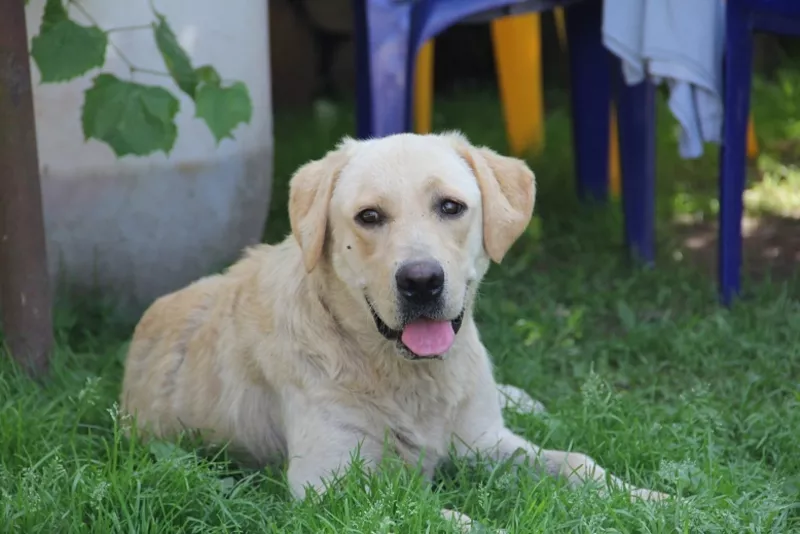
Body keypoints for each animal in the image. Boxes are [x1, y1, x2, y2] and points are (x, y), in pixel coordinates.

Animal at [120, 132, 668, 532]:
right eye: (369, 216)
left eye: (450, 207)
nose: (421, 281)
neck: (411, 376)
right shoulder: (328, 485)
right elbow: (446, 518)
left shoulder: (484, 441)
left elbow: (581, 463)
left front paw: (651, 499)